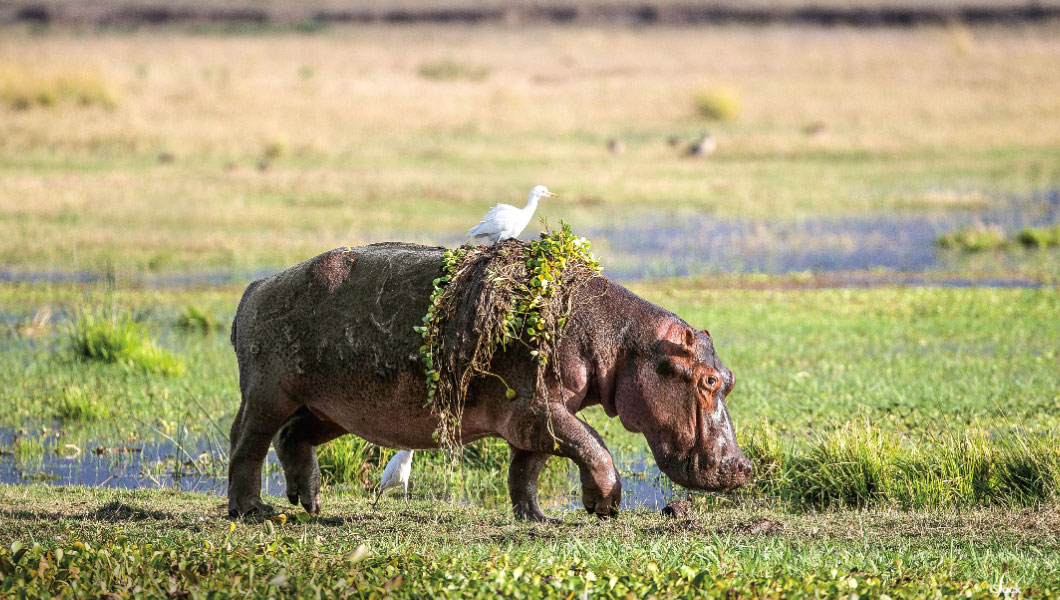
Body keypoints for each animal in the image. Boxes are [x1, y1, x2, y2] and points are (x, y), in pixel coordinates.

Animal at [227, 242, 750, 523]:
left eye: (728, 378)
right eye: (706, 380)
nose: (743, 467)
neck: (622, 340)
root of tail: (255, 286)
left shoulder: (537, 416)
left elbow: (528, 468)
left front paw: (536, 518)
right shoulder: (537, 408)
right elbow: (593, 445)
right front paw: (603, 507)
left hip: (330, 405)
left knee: (293, 437)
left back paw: (310, 504)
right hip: (269, 392)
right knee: (246, 442)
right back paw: (252, 511)